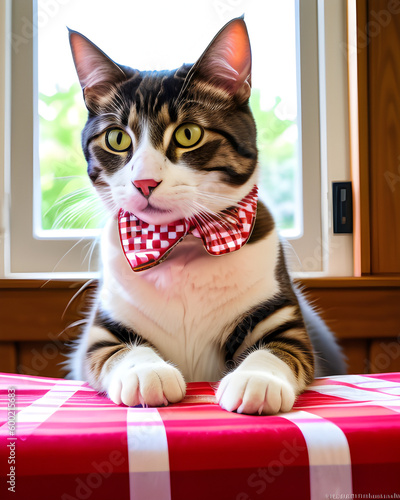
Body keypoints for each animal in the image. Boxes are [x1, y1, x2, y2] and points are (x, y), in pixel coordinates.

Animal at [67, 16, 346, 414]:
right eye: (117, 138)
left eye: (188, 134)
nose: (144, 181)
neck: (180, 245)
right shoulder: (104, 331)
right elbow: (120, 351)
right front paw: (146, 373)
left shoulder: (282, 321)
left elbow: (277, 351)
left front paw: (255, 380)